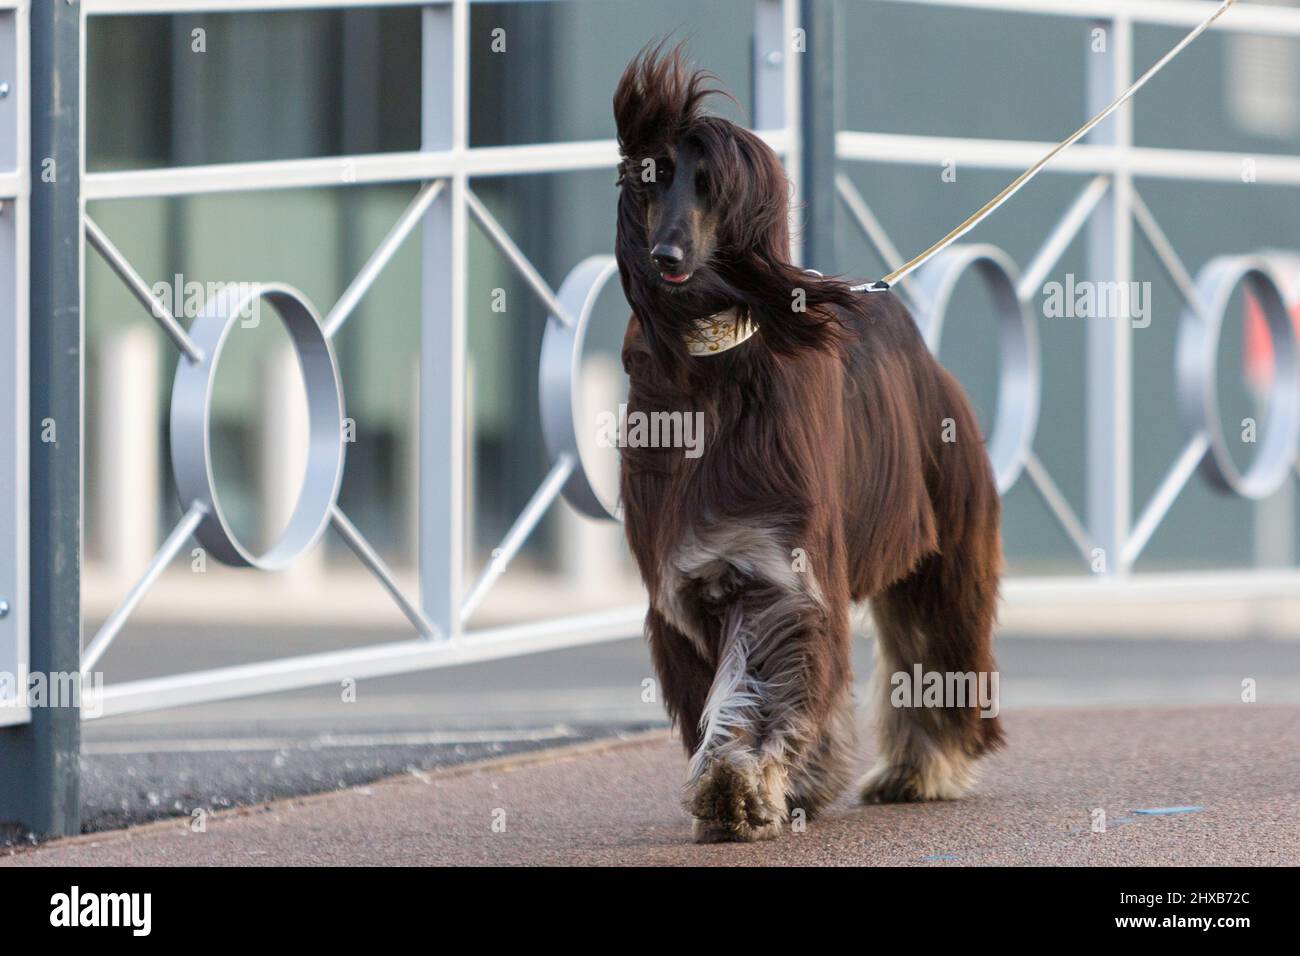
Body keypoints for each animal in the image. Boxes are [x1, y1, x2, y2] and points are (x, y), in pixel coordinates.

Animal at [611, 44, 1003, 842]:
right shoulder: (686, 579)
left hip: (943, 537)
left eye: (709, 184)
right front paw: (765, 786)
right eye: (652, 175)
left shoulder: (775, 560)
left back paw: (926, 767)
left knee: (935, 641)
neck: (710, 368)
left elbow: (766, 675)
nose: (667, 254)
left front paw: (738, 784)